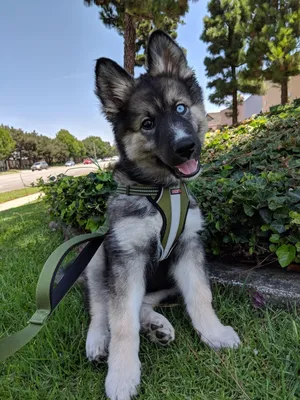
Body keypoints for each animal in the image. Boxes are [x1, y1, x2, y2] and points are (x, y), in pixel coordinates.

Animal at [84, 29, 239, 398]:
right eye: (147, 124)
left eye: (180, 107)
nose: (186, 147)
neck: (162, 191)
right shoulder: (126, 257)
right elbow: (120, 321)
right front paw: (122, 375)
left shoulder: (189, 248)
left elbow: (201, 296)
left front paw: (214, 333)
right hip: (97, 256)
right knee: (100, 307)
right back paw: (97, 341)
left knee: (143, 303)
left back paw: (156, 325)